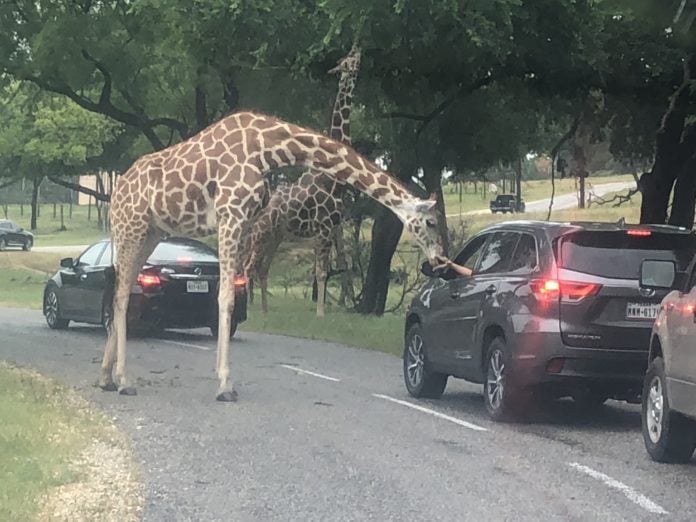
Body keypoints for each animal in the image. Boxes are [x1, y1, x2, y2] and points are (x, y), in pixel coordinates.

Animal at [100, 111, 444, 400]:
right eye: (430, 222)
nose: (440, 259)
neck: (267, 148)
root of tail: (116, 192)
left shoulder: (245, 220)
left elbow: (236, 286)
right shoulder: (231, 214)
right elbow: (226, 297)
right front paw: (225, 385)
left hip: (150, 233)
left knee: (120, 289)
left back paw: (106, 377)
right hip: (131, 227)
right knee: (121, 294)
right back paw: (124, 380)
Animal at [243, 44, 362, 314]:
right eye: (347, 60)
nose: (357, 48)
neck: (333, 180)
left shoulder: (333, 227)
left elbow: (329, 271)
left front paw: (323, 311)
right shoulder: (325, 227)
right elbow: (321, 273)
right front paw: (320, 314)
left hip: (275, 237)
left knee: (261, 269)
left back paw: (264, 311)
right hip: (260, 235)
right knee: (247, 267)